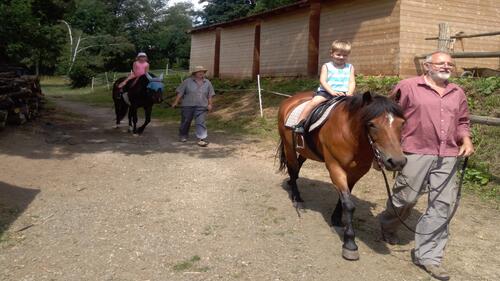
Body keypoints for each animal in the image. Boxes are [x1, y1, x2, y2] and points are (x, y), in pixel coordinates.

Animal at [278, 91, 406, 260]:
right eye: (372, 124)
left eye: (402, 123)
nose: (397, 161)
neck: (350, 134)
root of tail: (290, 100)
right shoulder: (335, 167)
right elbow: (349, 205)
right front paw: (350, 243)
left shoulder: (357, 172)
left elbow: (344, 198)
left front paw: (336, 219)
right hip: (289, 147)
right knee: (293, 169)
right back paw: (297, 199)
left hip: (305, 151)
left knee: (297, 167)